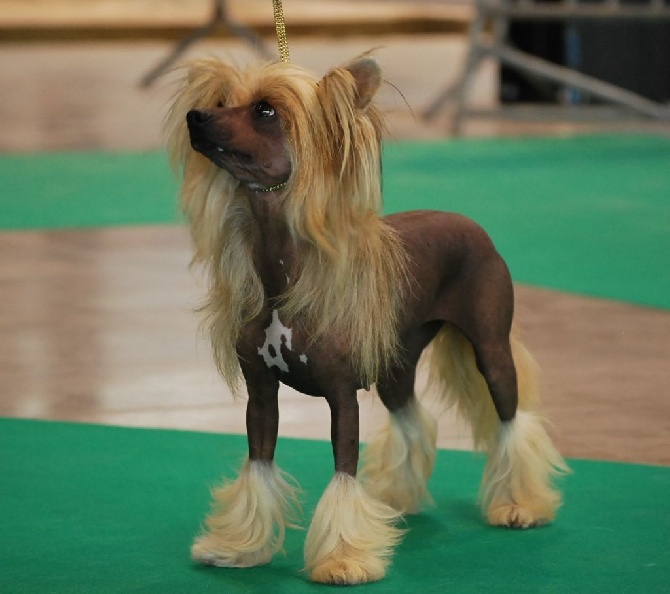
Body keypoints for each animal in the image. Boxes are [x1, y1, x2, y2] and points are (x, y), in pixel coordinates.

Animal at [165, 54, 568, 584]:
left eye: (266, 110)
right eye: (220, 101)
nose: (196, 118)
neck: (285, 279)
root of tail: (469, 222)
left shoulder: (342, 397)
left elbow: (343, 472)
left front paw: (343, 559)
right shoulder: (261, 394)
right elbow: (259, 465)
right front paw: (239, 547)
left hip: (491, 348)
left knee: (510, 419)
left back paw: (520, 505)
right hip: (398, 361)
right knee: (412, 417)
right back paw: (396, 498)